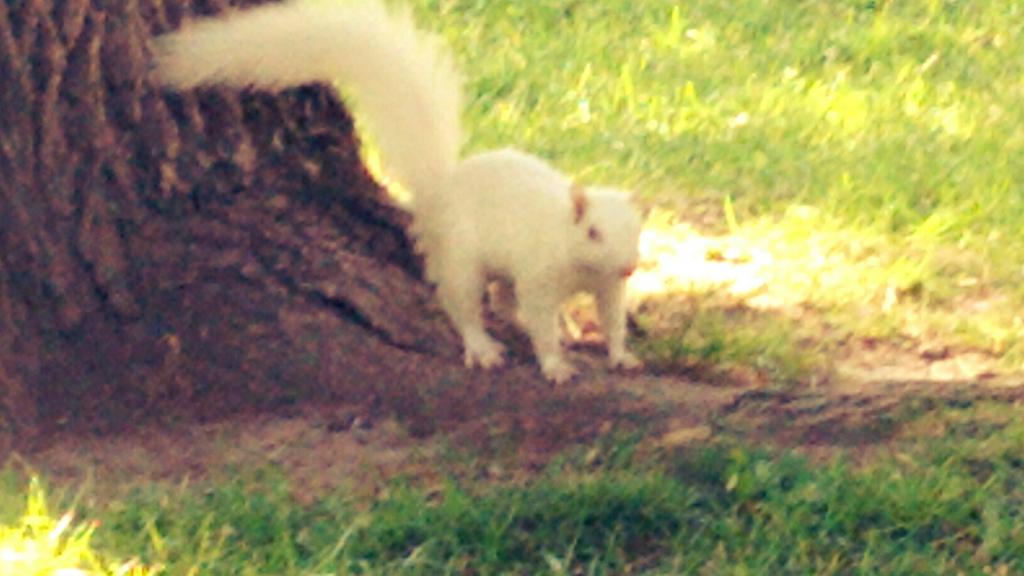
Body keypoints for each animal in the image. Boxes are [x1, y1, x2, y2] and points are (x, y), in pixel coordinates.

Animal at [151, 0, 644, 383]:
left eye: (638, 230)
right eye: (593, 232)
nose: (628, 266)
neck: (581, 265)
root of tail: (440, 191)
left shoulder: (606, 287)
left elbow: (613, 318)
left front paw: (621, 355)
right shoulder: (541, 273)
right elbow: (540, 317)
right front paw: (554, 363)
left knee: (505, 297)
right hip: (459, 254)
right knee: (463, 302)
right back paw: (482, 347)